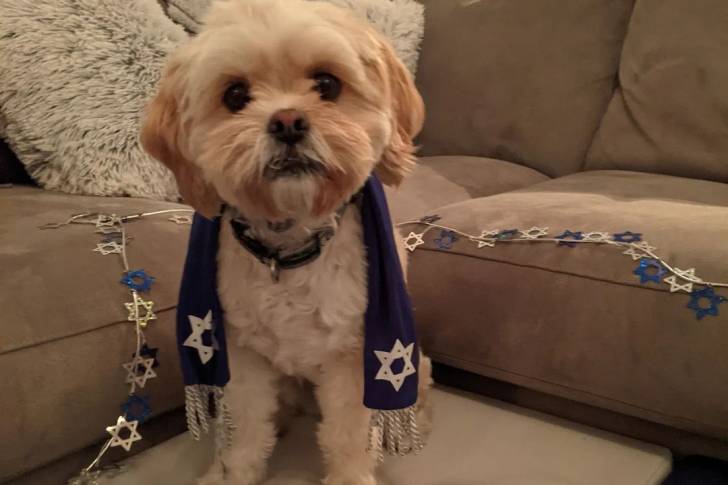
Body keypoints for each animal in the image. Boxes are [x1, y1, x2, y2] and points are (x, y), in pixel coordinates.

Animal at [141, 0, 432, 483]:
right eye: (235, 95)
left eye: (327, 84)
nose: (288, 122)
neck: (288, 248)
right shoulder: (241, 356)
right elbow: (246, 427)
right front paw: (232, 472)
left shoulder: (355, 357)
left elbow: (348, 432)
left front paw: (350, 475)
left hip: (412, 360)